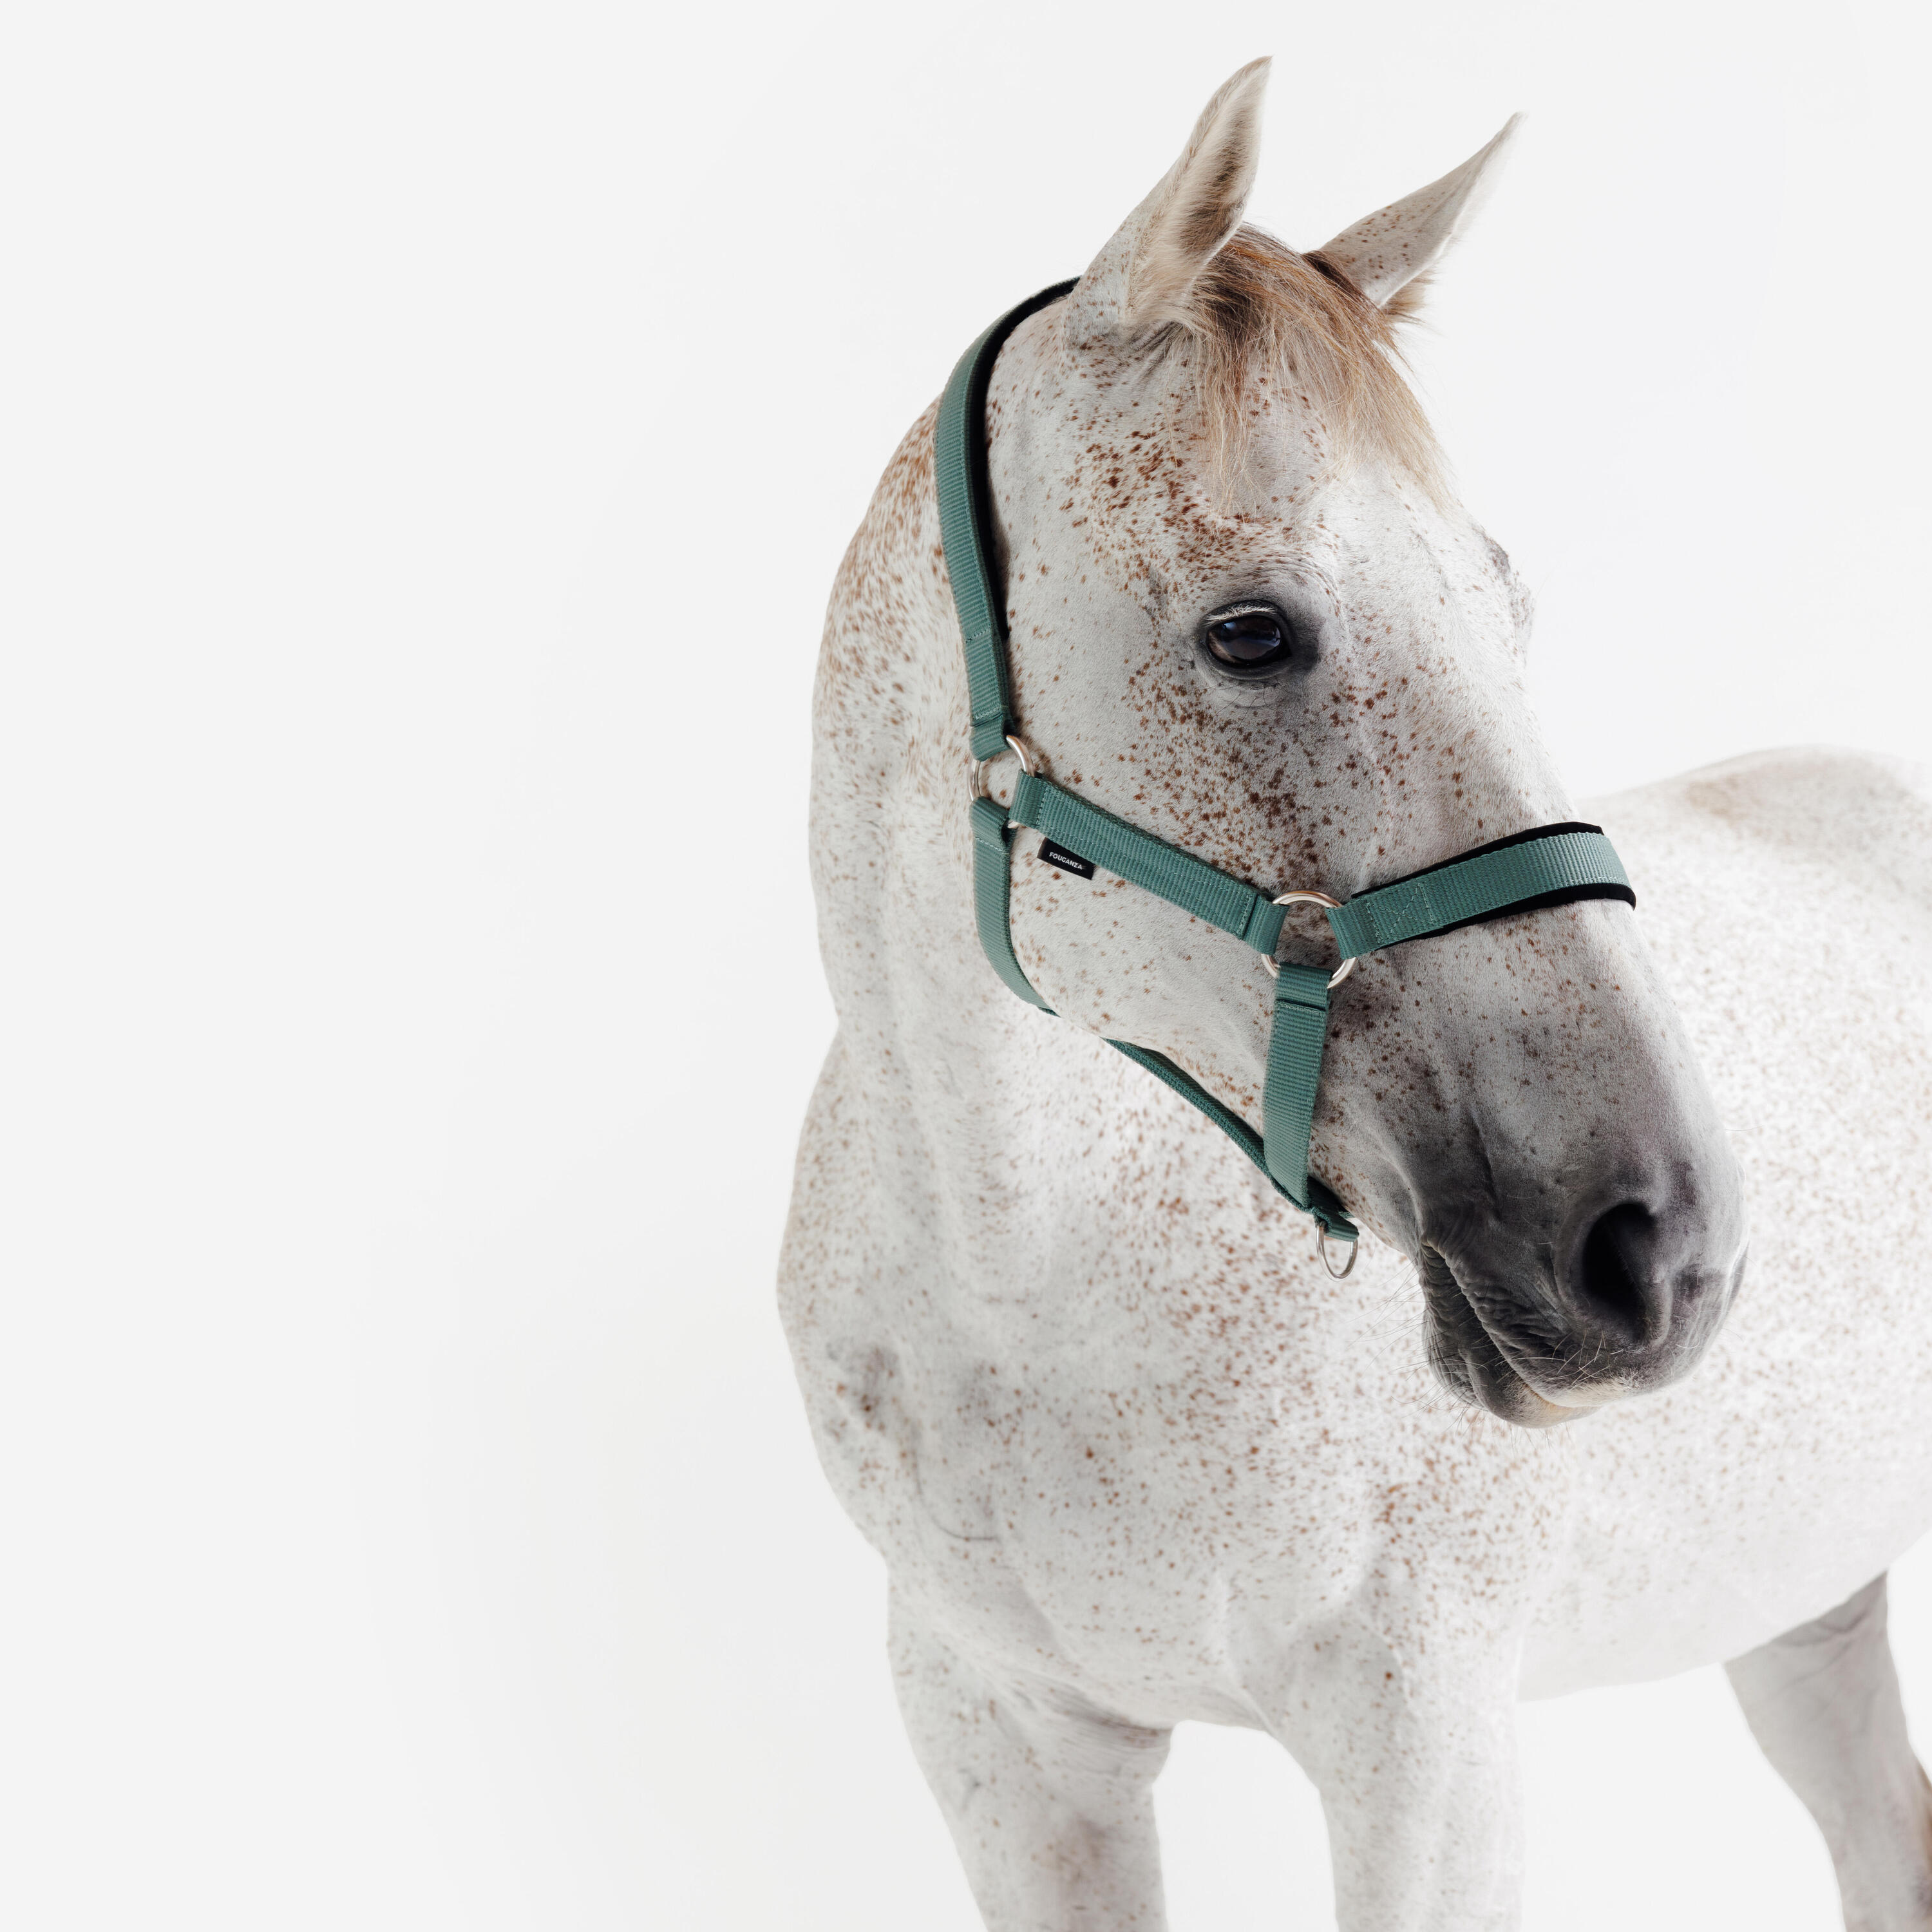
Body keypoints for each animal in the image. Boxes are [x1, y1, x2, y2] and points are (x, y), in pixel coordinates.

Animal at [778, 56, 1932, 1930]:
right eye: (1250, 632)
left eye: (1507, 603)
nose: (1661, 1247)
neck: (1024, 1285)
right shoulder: (1004, 1741)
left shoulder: (1429, 1758)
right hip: (1804, 1597)